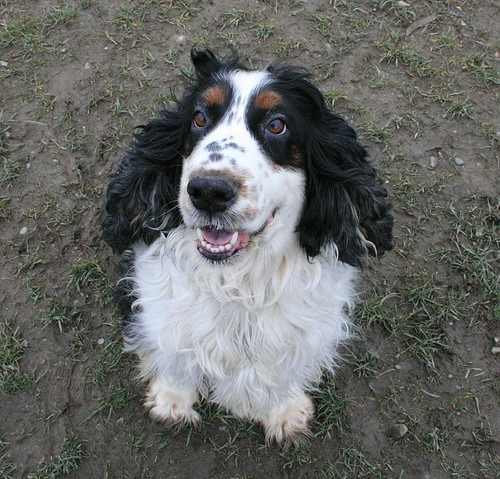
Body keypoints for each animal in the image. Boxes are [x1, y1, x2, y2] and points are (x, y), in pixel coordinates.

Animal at [103, 49, 393, 444]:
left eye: (277, 125)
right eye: (198, 117)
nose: (209, 191)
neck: (239, 282)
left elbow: (284, 371)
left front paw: (285, 413)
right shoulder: (162, 313)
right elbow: (175, 355)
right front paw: (171, 402)